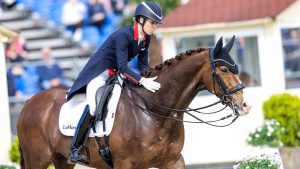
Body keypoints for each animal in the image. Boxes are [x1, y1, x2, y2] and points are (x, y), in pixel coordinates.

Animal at [17, 36, 251, 168]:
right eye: (223, 70)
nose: (244, 106)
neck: (153, 110)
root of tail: (29, 102)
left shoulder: (173, 160)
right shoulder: (126, 164)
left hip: (62, 160)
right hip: (38, 159)